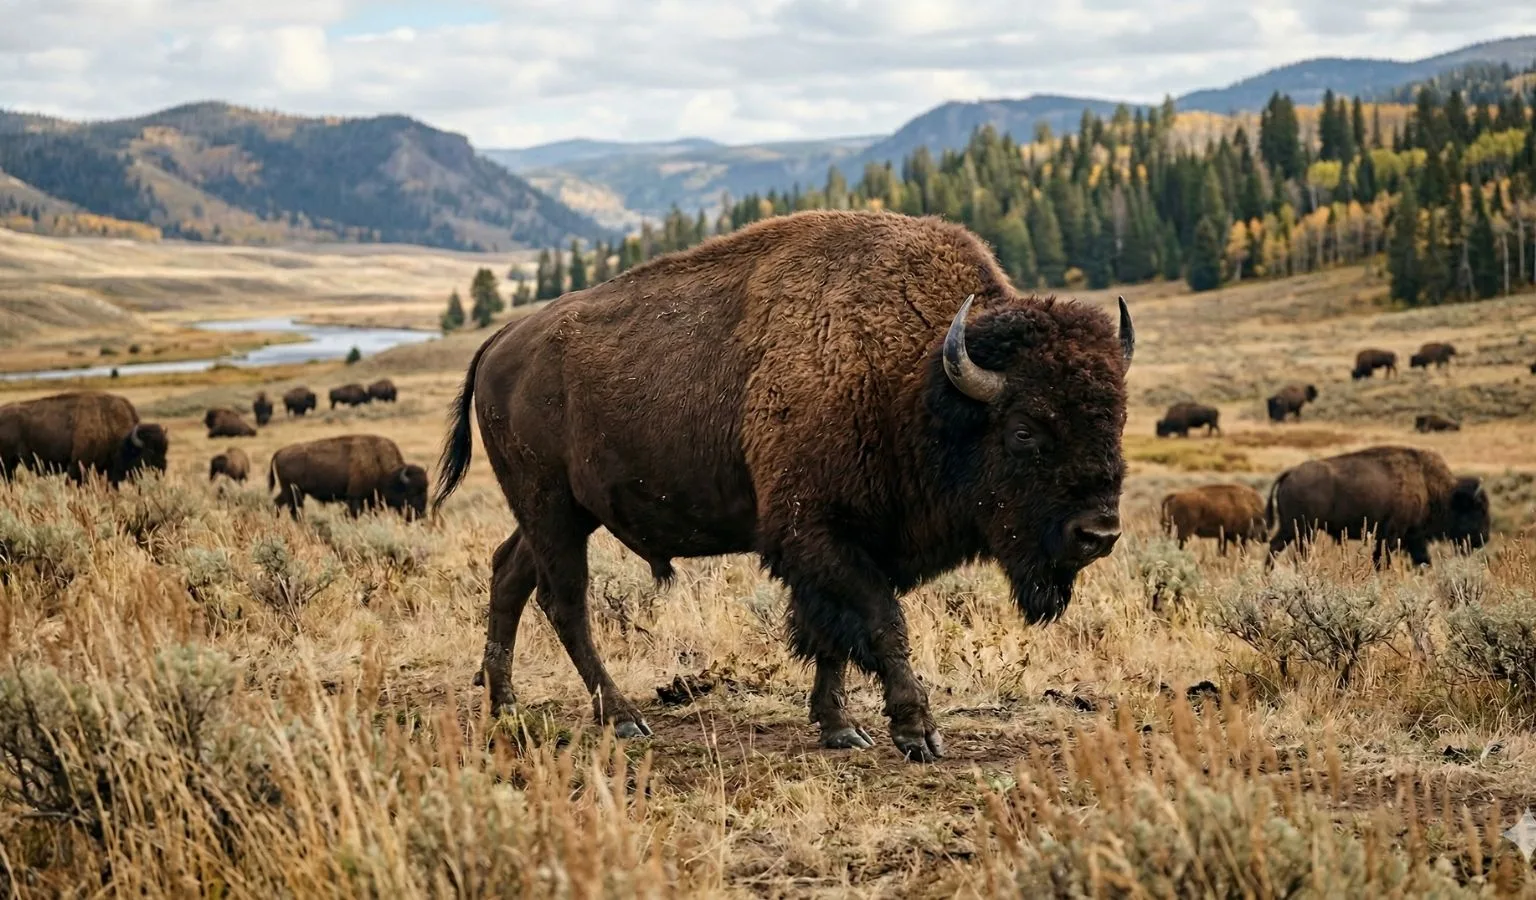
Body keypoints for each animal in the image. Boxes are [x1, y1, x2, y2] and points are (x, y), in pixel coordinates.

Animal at [268, 434, 427, 520]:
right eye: (412, 492)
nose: (420, 515)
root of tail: (280, 451)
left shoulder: (370, 498)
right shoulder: (355, 498)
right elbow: (354, 513)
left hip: (291, 491)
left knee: (278, 503)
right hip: (293, 491)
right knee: (293, 509)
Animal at [432, 208, 1135, 762]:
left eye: (1117, 417)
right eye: (1024, 430)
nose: (1098, 533)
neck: (919, 379)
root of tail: (499, 342)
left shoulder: (850, 547)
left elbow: (833, 638)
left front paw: (840, 728)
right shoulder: (818, 536)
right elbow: (882, 624)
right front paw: (918, 734)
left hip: (560, 514)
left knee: (510, 574)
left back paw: (505, 705)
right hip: (551, 507)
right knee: (566, 601)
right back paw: (623, 718)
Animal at [1267, 445, 1488, 568]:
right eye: (1478, 508)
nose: (1483, 539)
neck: (1429, 484)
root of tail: (1291, 472)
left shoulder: (1411, 538)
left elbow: (1421, 561)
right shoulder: (1393, 535)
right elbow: (1383, 561)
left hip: (1291, 529)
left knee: (1275, 547)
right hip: (1303, 529)